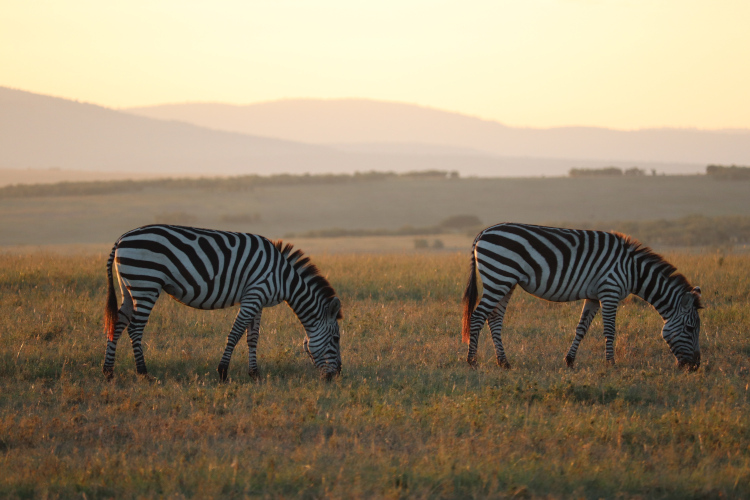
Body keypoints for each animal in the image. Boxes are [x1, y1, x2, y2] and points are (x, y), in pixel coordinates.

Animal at [103, 225, 344, 380]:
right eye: (336, 338)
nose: (337, 375)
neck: (283, 277)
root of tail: (121, 238)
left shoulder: (258, 300)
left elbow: (252, 338)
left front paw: (254, 374)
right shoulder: (254, 295)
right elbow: (235, 334)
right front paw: (222, 371)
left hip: (129, 287)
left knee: (118, 324)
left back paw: (108, 372)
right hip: (146, 283)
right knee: (135, 328)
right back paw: (143, 373)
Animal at [464, 225, 704, 370]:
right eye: (691, 328)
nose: (696, 366)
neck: (633, 270)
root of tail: (483, 232)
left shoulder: (594, 297)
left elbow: (582, 328)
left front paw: (570, 361)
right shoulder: (610, 291)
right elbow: (610, 330)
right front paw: (611, 364)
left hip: (506, 282)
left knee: (494, 318)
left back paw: (504, 362)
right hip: (499, 276)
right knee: (477, 317)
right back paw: (472, 361)